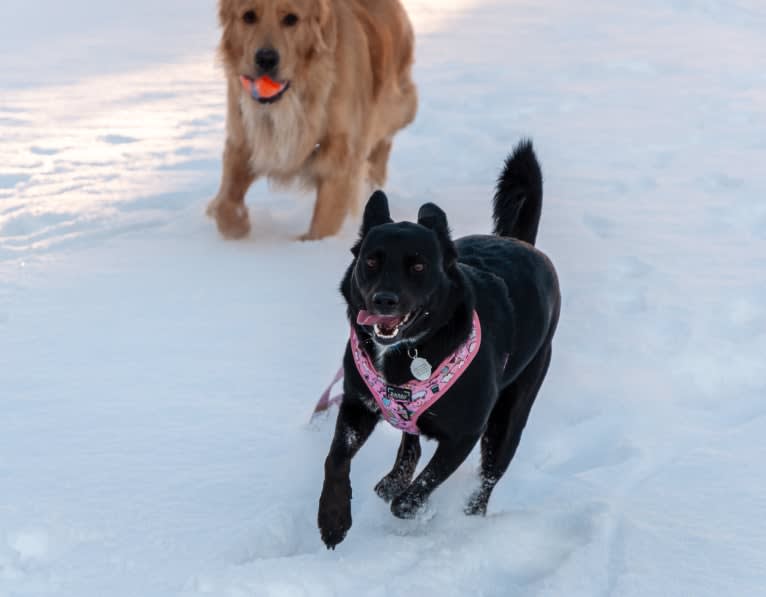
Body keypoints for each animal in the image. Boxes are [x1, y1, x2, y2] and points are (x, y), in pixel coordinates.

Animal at [316, 141, 560, 548]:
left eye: (418, 266)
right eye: (371, 261)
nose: (384, 300)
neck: (409, 351)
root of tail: (521, 242)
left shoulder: (465, 434)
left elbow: (412, 496)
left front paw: (416, 512)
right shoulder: (357, 404)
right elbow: (335, 459)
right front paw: (333, 519)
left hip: (509, 418)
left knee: (487, 479)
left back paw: (467, 518)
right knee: (409, 444)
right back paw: (390, 480)